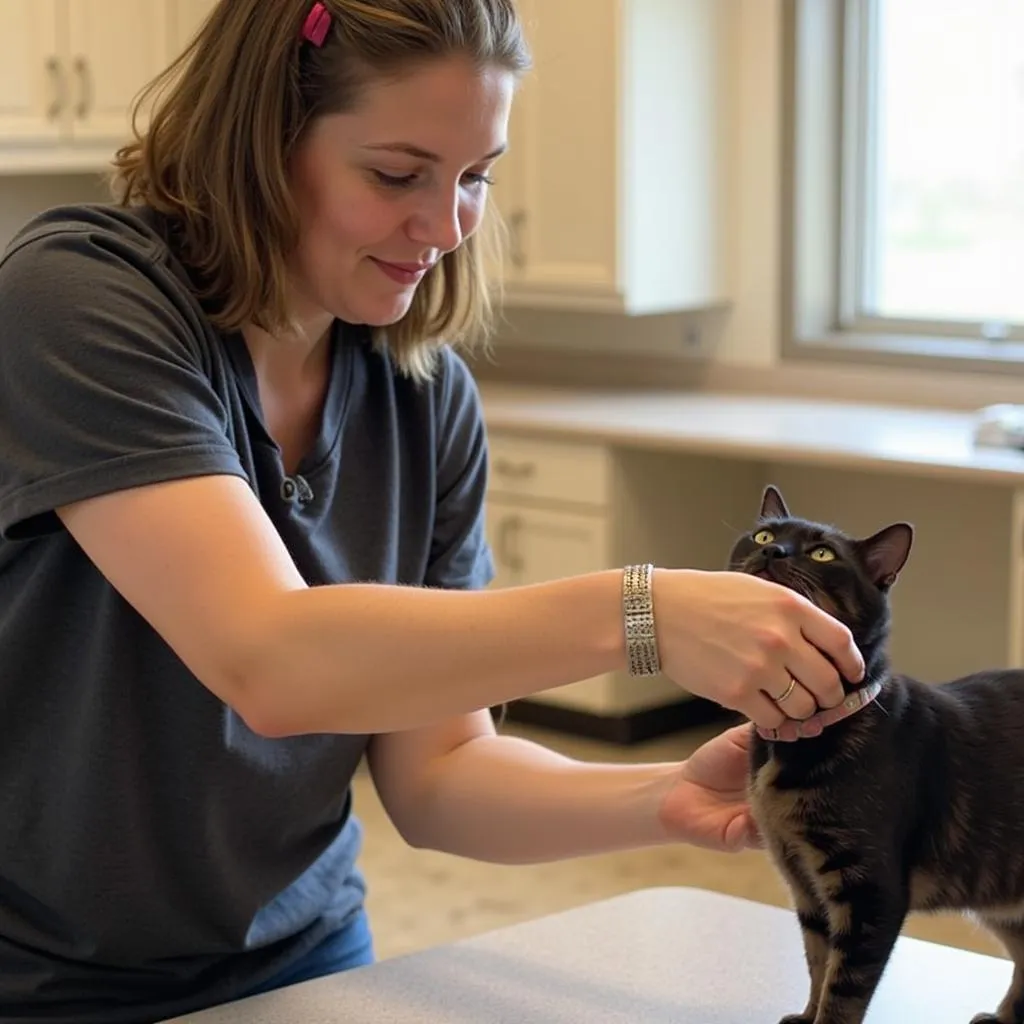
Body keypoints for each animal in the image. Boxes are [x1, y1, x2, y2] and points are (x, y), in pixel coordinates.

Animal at [733, 485, 1024, 1024]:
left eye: (822, 554)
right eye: (762, 535)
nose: (774, 551)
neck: (796, 736)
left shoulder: (870, 893)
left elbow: (844, 987)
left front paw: (825, 1020)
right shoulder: (803, 882)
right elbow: (817, 961)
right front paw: (805, 1016)